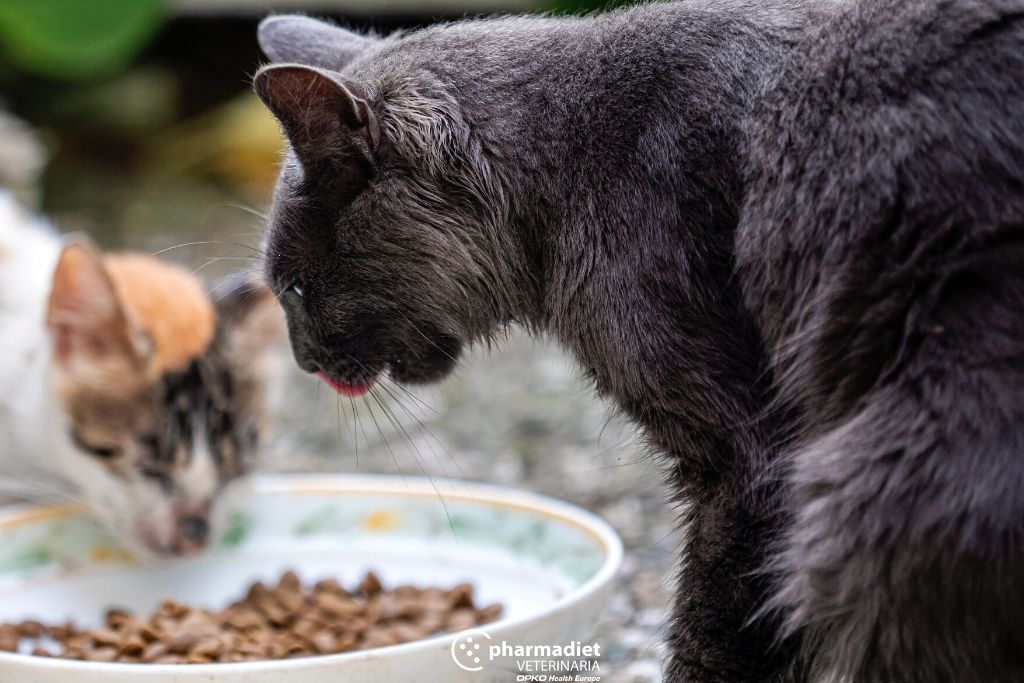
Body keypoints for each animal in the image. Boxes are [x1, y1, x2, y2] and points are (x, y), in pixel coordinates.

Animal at [249, 1, 1024, 679]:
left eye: (294, 290)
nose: (304, 360)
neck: (573, 157)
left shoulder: (752, 462)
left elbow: (715, 632)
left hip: (880, 477)